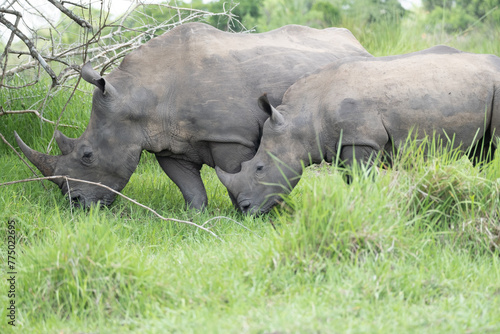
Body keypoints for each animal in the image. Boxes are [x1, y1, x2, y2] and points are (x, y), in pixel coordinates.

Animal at [15, 21, 372, 209]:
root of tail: (359, 44)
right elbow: (188, 185)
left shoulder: (232, 136)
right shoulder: (167, 140)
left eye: (87, 155)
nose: (75, 203)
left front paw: (249, 212)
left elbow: (239, 171)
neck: (136, 96)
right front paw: (195, 217)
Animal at [217, 45, 500, 214]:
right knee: (482, 151)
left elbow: (362, 181)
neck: (301, 119)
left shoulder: (361, 139)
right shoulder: (343, 143)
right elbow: (350, 181)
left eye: (259, 168)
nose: (244, 209)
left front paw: (366, 208)